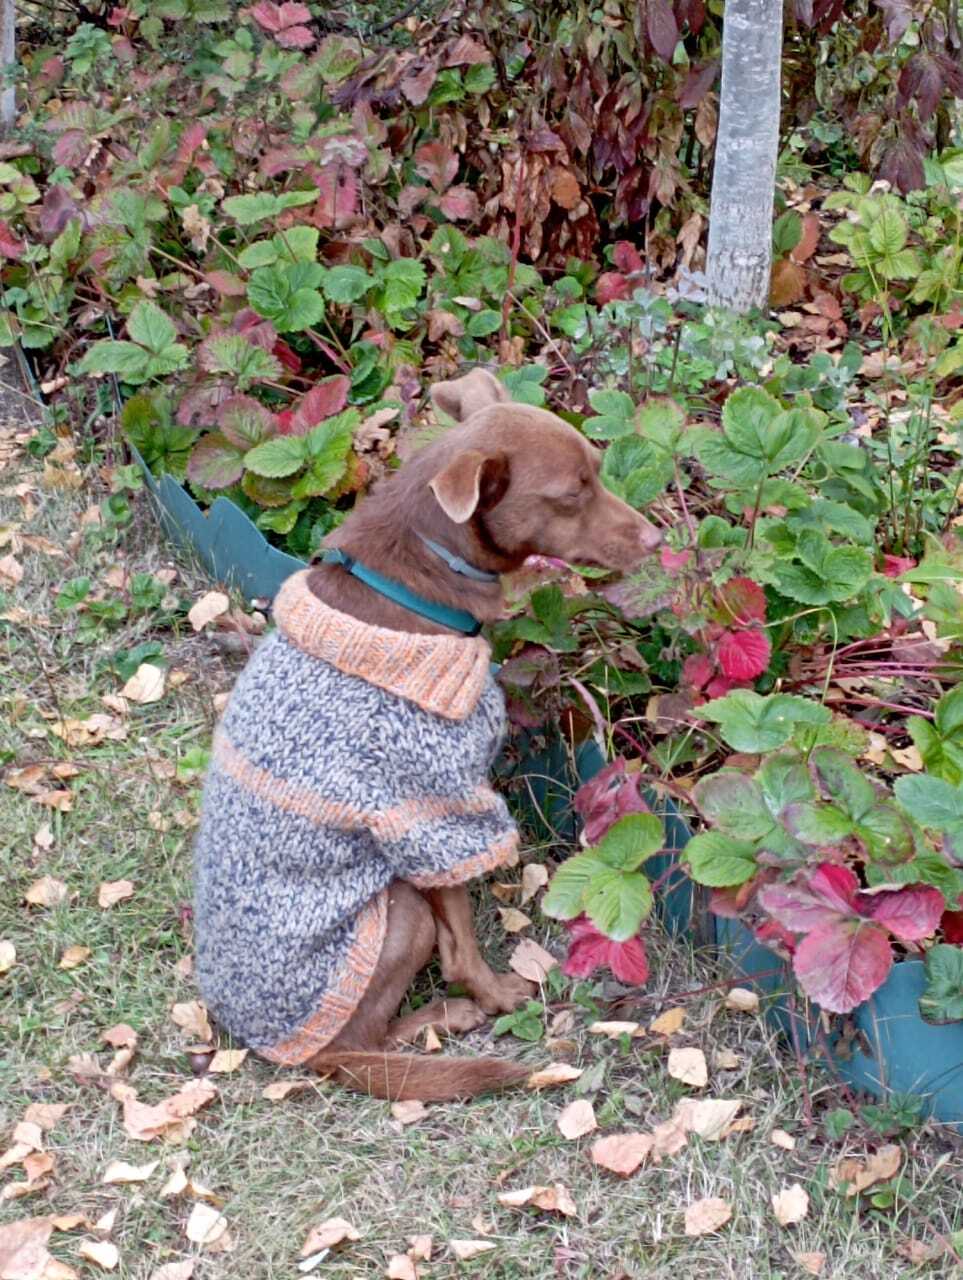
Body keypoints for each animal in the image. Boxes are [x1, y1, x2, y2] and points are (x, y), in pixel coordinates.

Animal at [297, 371, 660, 1100]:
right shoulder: (431, 810)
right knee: (367, 1038)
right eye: (571, 494)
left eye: (600, 470)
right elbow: (462, 942)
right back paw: (448, 1017)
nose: (656, 539)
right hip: (396, 912)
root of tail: (298, 1055)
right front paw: (496, 994)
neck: (413, 585)